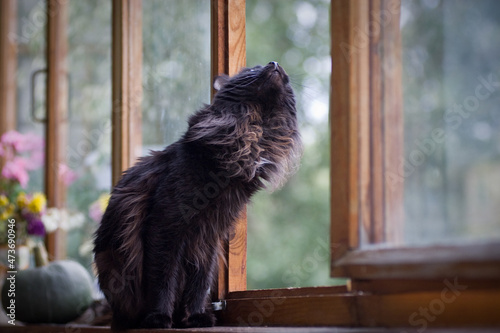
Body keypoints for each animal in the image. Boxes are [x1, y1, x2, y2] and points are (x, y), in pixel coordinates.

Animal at [94, 61, 300, 328]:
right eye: (253, 68)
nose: (274, 63)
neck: (252, 131)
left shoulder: (210, 235)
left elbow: (199, 283)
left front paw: (195, 316)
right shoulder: (166, 225)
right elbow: (163, 280)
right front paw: (159, 318)